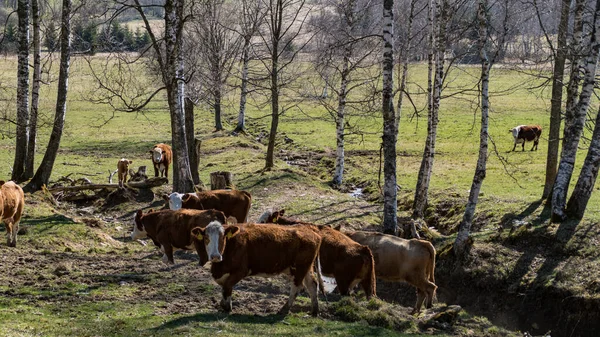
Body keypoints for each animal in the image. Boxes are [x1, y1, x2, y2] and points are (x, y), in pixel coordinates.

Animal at [192, 220, 324, 316]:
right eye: (206, 238)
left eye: (222, 237)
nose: (215, 256)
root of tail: (309, 229)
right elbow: (224, 287)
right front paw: (223, 304)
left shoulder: (241, 271)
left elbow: (227, 286)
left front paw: (227, 307)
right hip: (307, 267)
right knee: (312, 285)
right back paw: (314, 311)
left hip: (299, 268)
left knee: (297, 287)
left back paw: (284, 309)